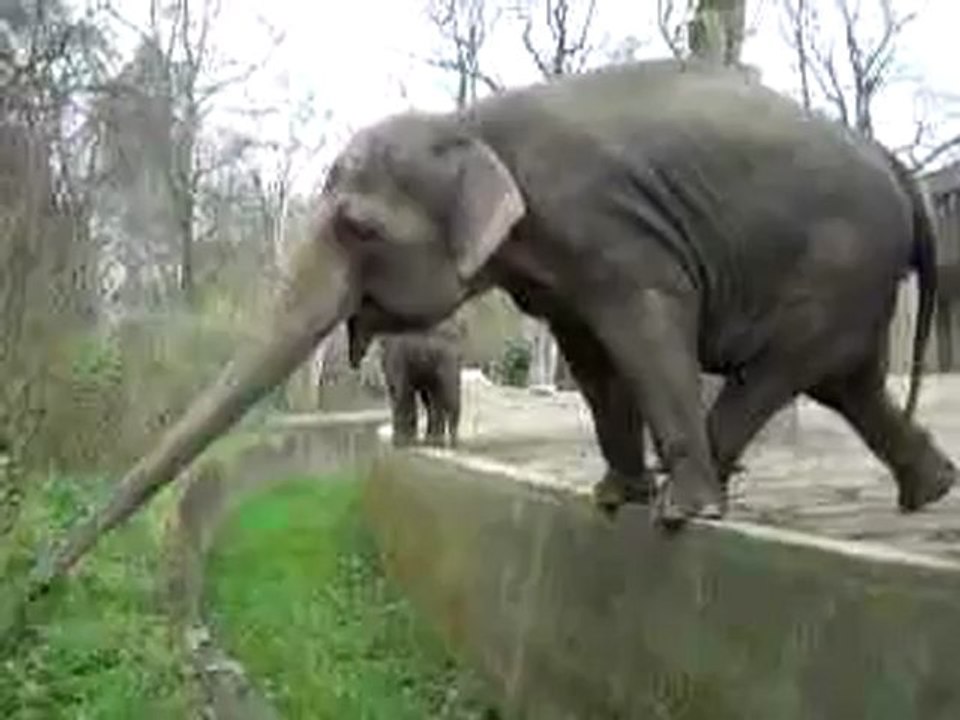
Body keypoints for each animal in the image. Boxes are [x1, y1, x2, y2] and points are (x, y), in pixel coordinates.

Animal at [348, 317, 462, 448]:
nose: (354, 363)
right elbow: (404, 400)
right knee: (433, 403)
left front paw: (400, 436)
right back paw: (434, 436)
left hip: (446, 363)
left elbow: (401, 396)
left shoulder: (396, 360)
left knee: (448, 399)